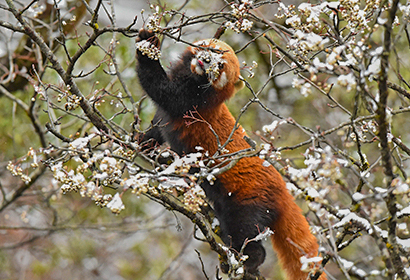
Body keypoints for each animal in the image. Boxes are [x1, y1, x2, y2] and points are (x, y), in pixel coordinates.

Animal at [136, 29, 326, 280]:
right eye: (211, 50)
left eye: (221, 65)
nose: (206, 60)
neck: (194, 78)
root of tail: (284, 191)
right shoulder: (167, 115)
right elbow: (158, 126)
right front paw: (142, 141)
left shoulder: (192, 101)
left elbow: (161, 90)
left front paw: (147, 44)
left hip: (249, 201)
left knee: (246, 232)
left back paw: (248, 260)